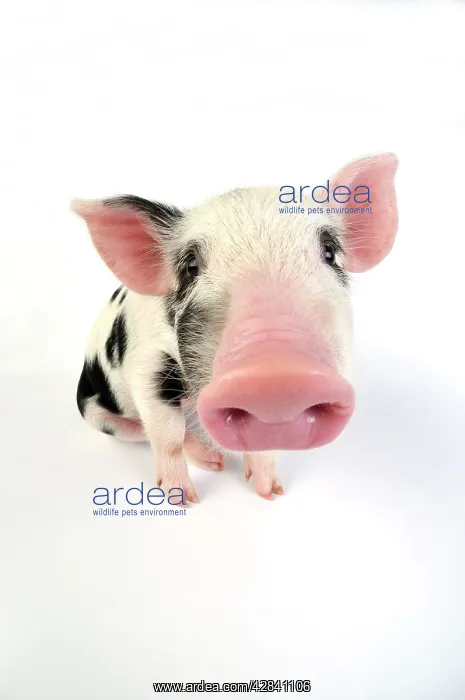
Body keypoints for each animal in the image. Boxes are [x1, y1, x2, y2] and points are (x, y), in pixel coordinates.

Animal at [73, 153, 399, 503]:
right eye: (190, 267)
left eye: (329, 252)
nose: (278, 373)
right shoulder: (145, 364)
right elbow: (167, 436)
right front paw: (183, 501)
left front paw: (273, 493)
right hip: (97, 414)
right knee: (143, 432)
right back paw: (212, 461)